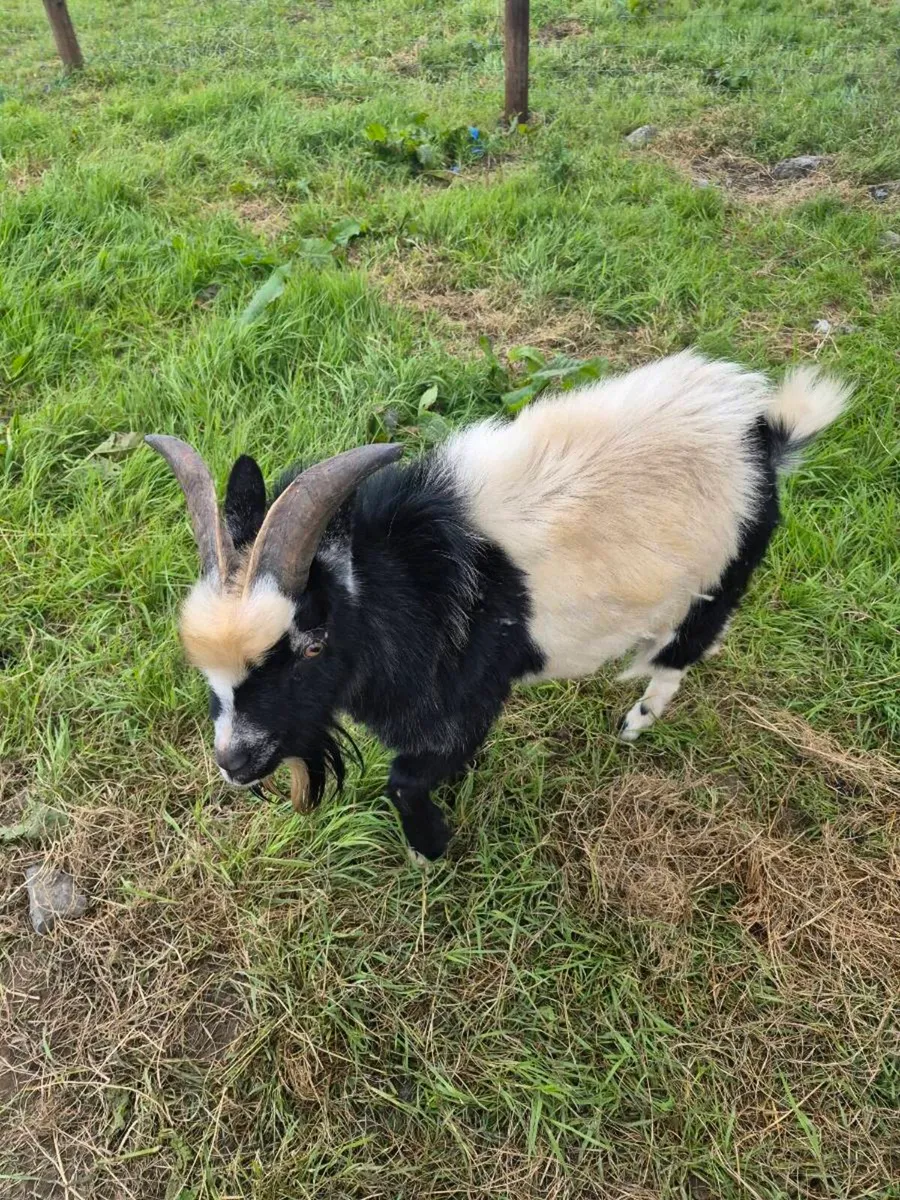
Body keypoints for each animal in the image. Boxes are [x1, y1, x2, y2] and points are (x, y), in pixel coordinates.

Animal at [146, 350, 849, 862]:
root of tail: (764, 438)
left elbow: (405, 780)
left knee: (683, 650)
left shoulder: (468, 698)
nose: (233, 763)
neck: (410, 582)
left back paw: (637, 719)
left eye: (311, 645)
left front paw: (431, 849)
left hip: (724, 573)